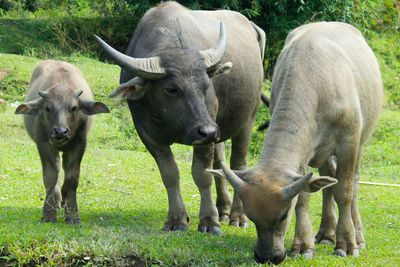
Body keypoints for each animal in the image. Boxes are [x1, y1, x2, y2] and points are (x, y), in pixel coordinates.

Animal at [15, 60, 109, 224]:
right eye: (47, 108)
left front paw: (72, 214)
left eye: (74, 108)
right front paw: (49, 213)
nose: (60, 131)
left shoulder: (79, 144)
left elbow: (72, 177)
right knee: (58, 170)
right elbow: (51, 175)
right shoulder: (43, 144)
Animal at [94, 1, 266, 233]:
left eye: (206, 86)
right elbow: (170, 173)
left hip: (246, 119)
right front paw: (177, 219)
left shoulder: (206, 133)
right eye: (171, 89)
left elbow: (202, 174)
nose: (208, 131)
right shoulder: (147, 132)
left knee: (239, 163)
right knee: (220, 160)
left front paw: (208, 221)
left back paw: (238, 217)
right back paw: (223, 210)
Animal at [208, 22, 382, 264]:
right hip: (322, 151)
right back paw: (326, 233)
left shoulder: (349, 140)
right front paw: (303, 246)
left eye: (283, 215)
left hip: (361, 141)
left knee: (353, 183)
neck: (319, 84)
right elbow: (303, 196)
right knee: (327, 179)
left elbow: (344, 192)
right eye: (251, 216)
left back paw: (357, 235)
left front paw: (346, 244)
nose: (267, 256)